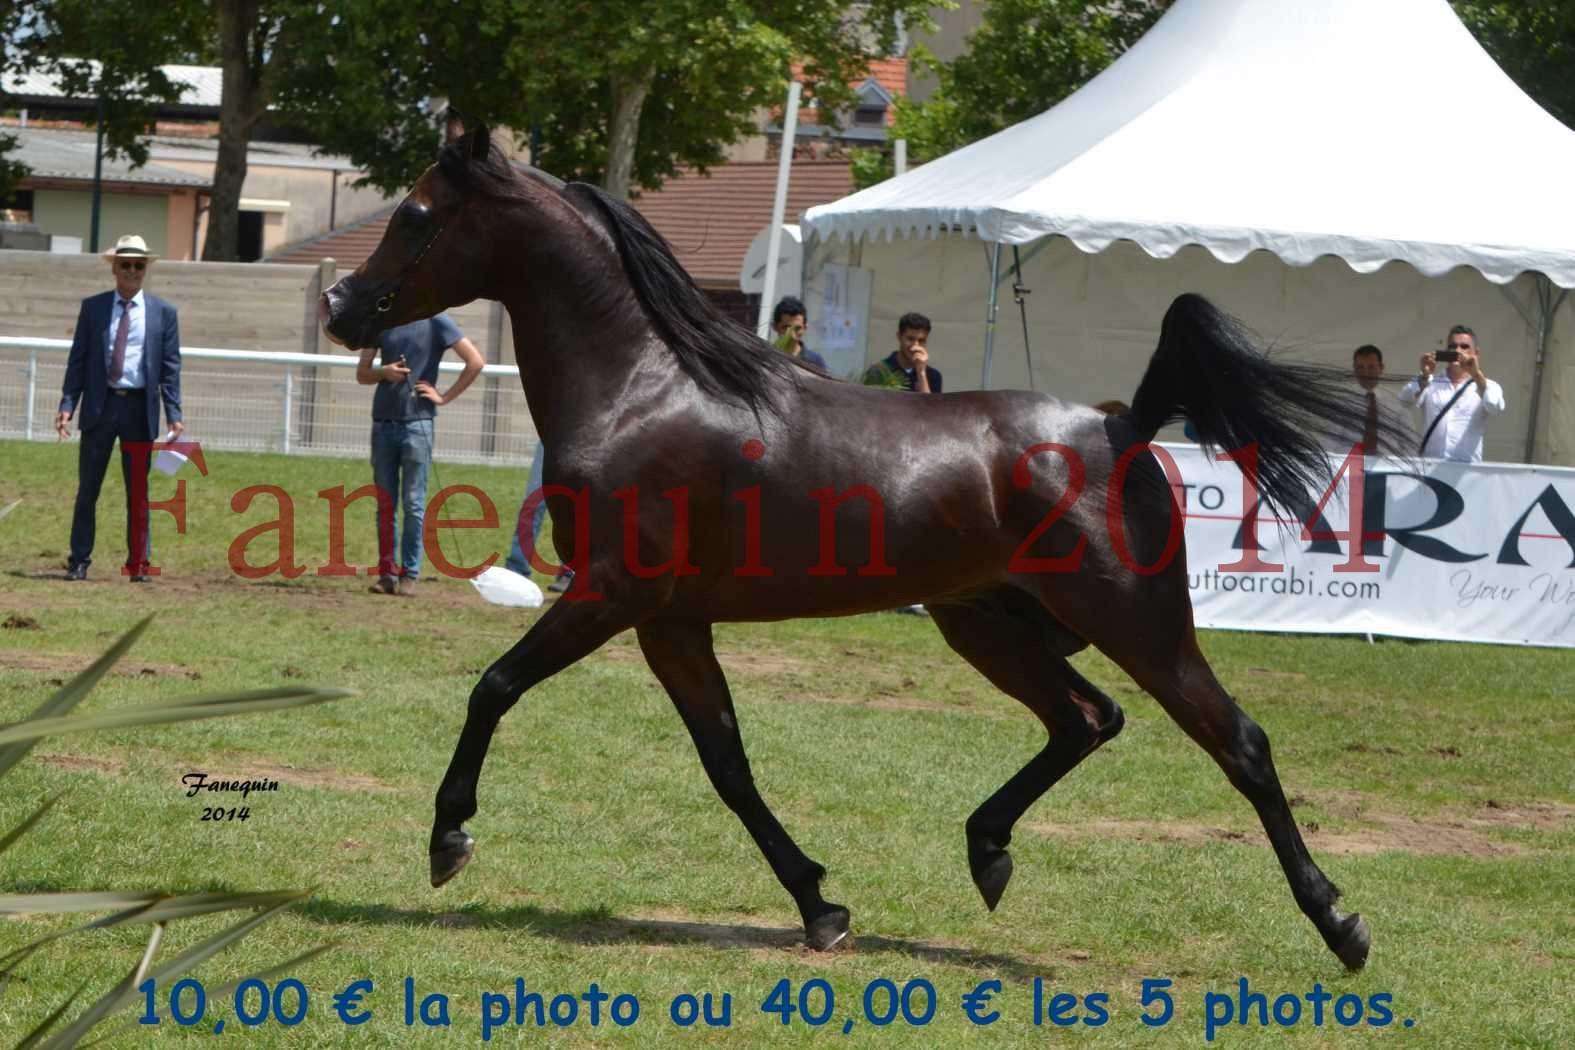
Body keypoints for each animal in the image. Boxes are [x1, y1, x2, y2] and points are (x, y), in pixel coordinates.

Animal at [322, 127, 1379, 976]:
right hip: (984, 625)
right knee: (1085, 719)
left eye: (414, 215)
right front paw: (820, 905)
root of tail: (1121, 425)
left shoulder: (611, 595)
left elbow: (493, 687)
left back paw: (1340, 925)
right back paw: (986, 852)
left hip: (1138, 624)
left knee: (1238, 744)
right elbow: (728, 765)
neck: (643, 387)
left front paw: (448, 836)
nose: (338, 304)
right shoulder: (671, 623)